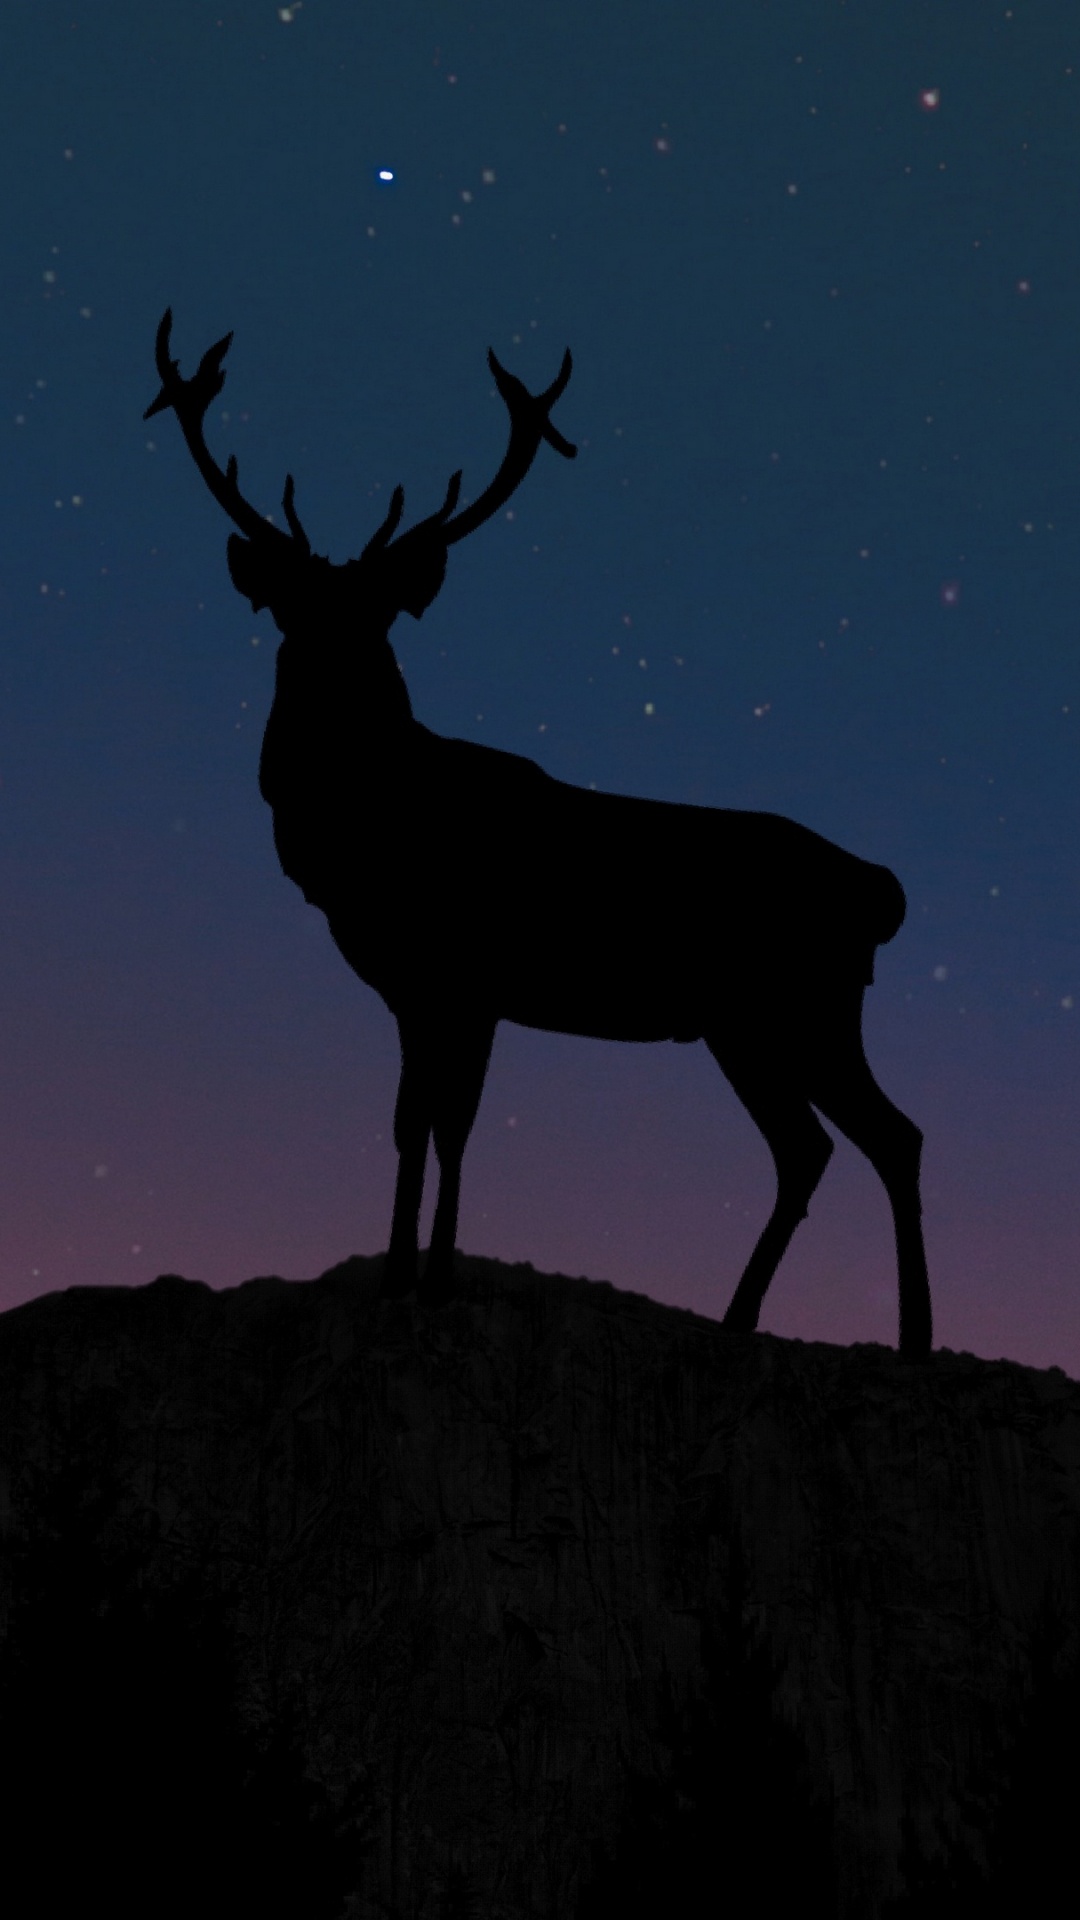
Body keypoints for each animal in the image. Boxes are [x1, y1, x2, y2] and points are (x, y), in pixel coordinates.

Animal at [145, 310, 933, 1358]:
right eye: (291, 610)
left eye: (380, 616)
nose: (329, 684)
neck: (366, 844)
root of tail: (882, 888)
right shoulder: (411, 989)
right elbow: (407, 1121)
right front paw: (395, 1277)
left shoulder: (474, 976)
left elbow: (455, 1123)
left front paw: (438, 1279)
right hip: (748, 1023)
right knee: (813, 1147)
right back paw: (742, 1319)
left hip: (803, 1003)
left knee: (889, 1135)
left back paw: (910, 1336)